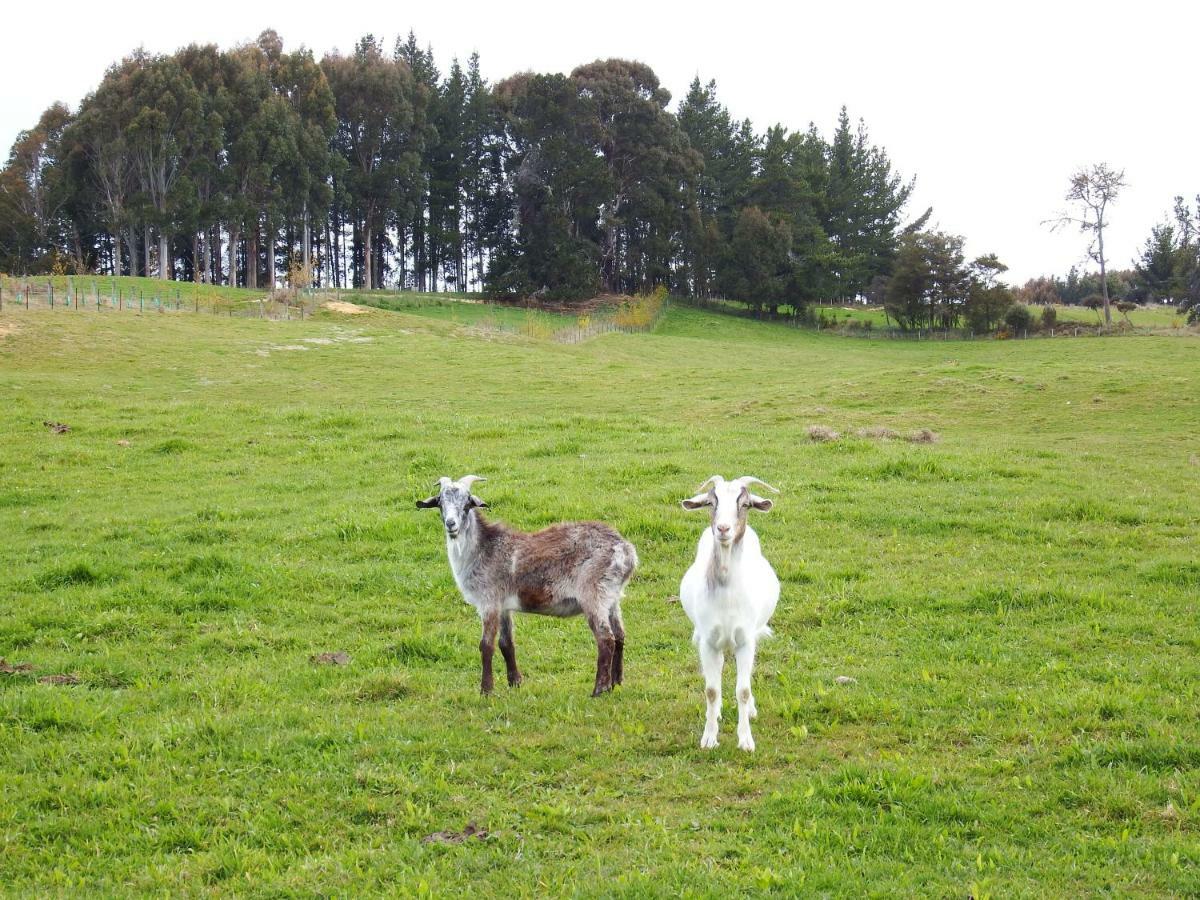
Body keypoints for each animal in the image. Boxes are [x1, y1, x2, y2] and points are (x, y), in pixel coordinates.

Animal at [417, 480, 638, 696]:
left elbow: (486, 645)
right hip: (612, 597)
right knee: (619, 635)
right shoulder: (504, 606)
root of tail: (626, 551)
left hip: (593, 593)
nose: (451, 524)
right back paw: (616, 682)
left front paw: (486, 690)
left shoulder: (489, 601)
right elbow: (506, 643)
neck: (482, 550)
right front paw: (515, 682)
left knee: (605, 638)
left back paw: (599, 689)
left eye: (466, 505)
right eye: (440, 503)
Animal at [681, 475, 782, 748]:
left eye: (745, 504)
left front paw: (746, 741)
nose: (723, 529)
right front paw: (709, 737)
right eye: (711, 502)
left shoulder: (745, 640)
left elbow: (743, 691)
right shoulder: (708, 641)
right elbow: (711, 690)